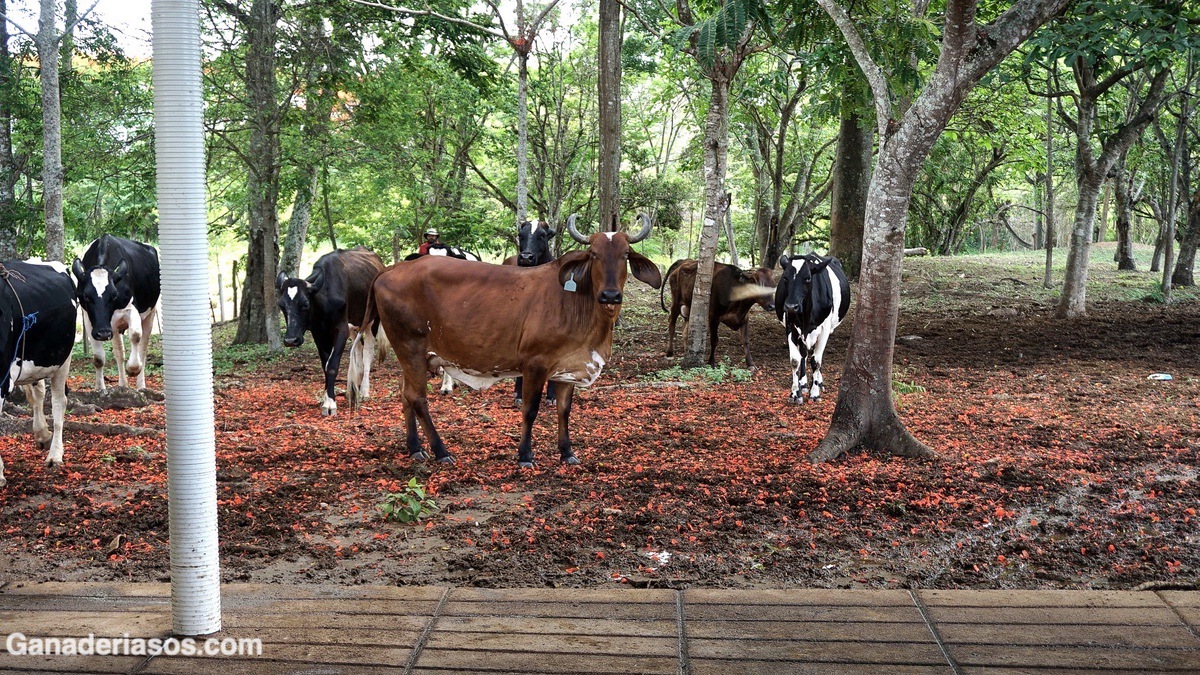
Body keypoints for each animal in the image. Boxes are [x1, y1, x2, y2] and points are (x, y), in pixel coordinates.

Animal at [71, 234, 160, 389]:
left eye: (114, 295)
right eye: (86, 296)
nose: (103, 333)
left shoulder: (131, 309)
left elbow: (135, 335)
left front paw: (133, 368)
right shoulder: (89, 318)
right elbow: (99, 358)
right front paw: (100, 389)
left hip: (151, 313)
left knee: (143, 348)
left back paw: (141, 385)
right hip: (114, 326)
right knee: (119, 352)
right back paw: (123, 385)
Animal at [276, 247, 384, 415]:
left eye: (305, 304)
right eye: (281, 305)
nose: (290, 340)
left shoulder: (341, 329)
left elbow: (332, 365)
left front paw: (331, 404)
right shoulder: (318, 333)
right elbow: (325, 365)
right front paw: (327, 398)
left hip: (373, 320)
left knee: (367, 352)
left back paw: (364, 391)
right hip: (355, 325)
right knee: (358, 349)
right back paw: (354, 387)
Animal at [348, 212, 667, 466]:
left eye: (625, 254)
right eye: (594, 255)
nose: (611, 295)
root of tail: (390, 269)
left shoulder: (568, 367)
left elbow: (564, 411)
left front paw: (567, 452)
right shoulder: (535, 364)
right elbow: (530, 410)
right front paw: (525, 455)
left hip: (410, 354)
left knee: (405, 396)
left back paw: (414, 448)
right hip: (410, 347)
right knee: (417, 398)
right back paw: (441, 451)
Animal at [772, 251, 849, 398]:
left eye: (808, 278)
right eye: (785, 278)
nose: (791, 306)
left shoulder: (824, 328)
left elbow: (816, 361)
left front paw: (815, 392)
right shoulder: (790, 326)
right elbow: (795, 360)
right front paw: (795, 392)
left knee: (815, 356)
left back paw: (819, 382)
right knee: (804, 354)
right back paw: (803, 384)